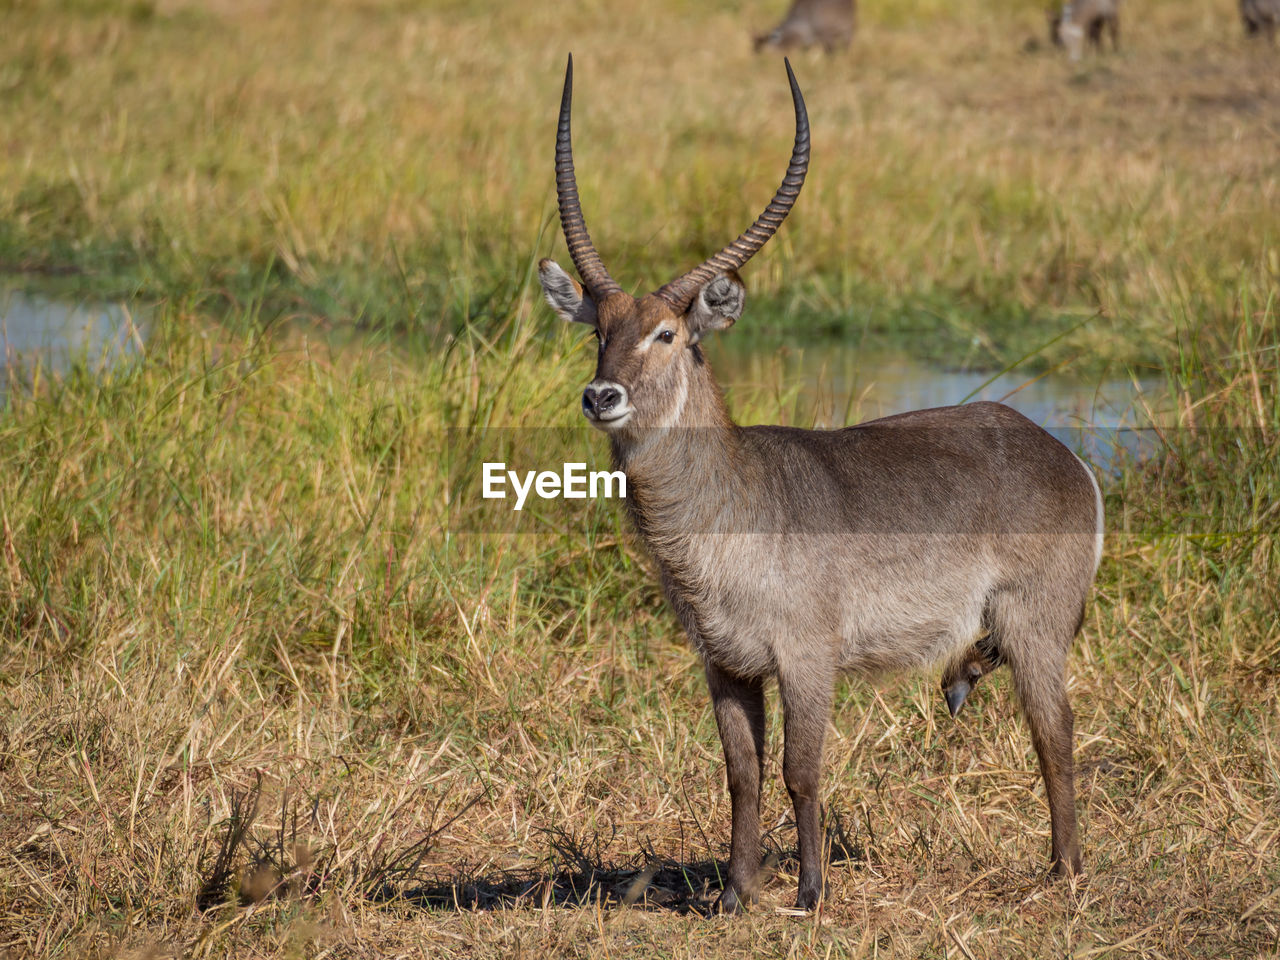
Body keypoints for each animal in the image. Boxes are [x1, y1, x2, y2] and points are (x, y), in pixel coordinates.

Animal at [535, 56, 1105, 911]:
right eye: (598, 332)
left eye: (667, 333)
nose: (602, 397)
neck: (730, 506)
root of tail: (1062, 454)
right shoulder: (726, 663)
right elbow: (742, 776)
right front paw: (736, 895)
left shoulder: (807, 656)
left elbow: (801, 772)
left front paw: (808, 892)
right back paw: (963, 682)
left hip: (1036, 622)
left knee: (1055, 735)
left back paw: (1063, 870)